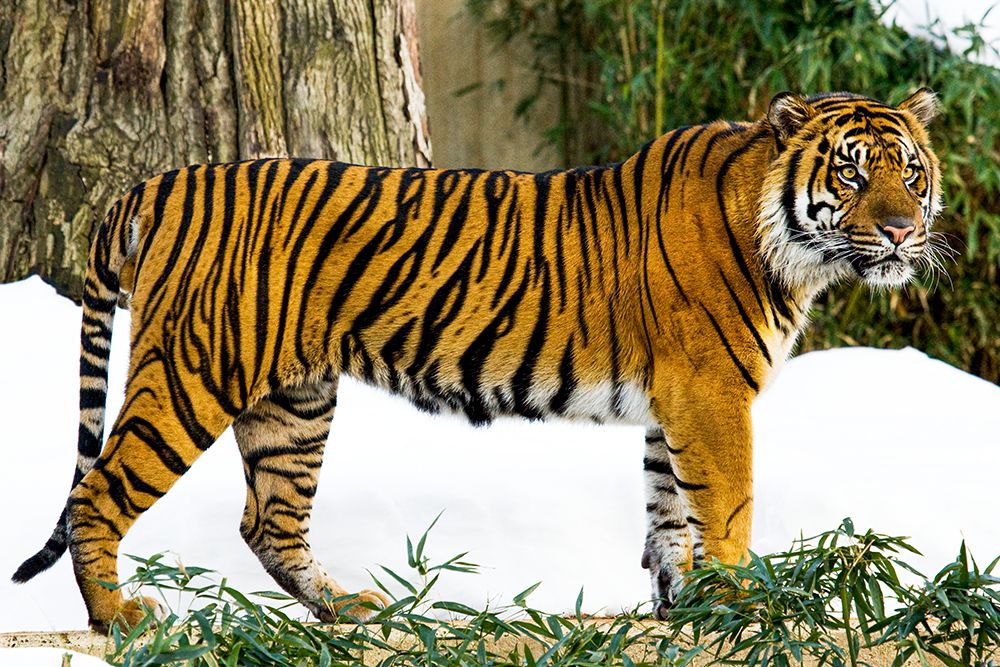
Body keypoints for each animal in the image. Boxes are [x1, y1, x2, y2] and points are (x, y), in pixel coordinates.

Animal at [13, 89, 942, 631]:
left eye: (910, 173)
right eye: (851, 174)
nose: (902, 231)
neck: (794, 247)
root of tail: (155, 182)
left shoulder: (673, 404)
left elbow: (669, 513)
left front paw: (683, 610)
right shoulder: (711, 395)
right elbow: (729, 508)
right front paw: (748, 605)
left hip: (295, 398)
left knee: (269, 520)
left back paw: (349, 609)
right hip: (192, 373)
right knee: (98, 494)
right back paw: (119, 617)